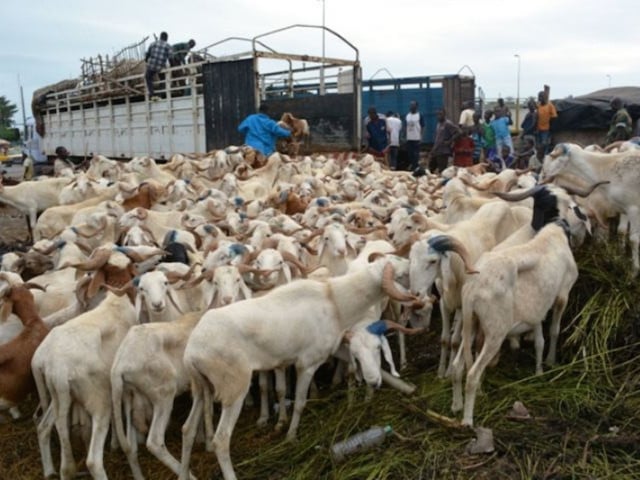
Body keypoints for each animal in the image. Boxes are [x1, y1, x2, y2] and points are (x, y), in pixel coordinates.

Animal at [180, 258, 420, 480]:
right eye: (400, 274)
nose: (417, 295)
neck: (335, 301)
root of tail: (192, 351)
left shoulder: (330, 350)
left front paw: (403, 387)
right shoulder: (308, 363)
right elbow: (300, 403)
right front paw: (291, 436)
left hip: (201, 387)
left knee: (187, 430)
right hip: (233, 387)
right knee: (221, 440)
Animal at [450, 219, 580, 426]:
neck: (554, 234)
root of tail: (472, 289)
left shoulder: (536, 311)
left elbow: (539, 341)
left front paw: (539, 371)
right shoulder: (563, 294)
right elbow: (554, 330)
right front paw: (551, 362)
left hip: (471, 325)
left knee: (457, 367)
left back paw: (456, 406)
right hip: (496, 331)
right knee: (472, 375)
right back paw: (468, 421)